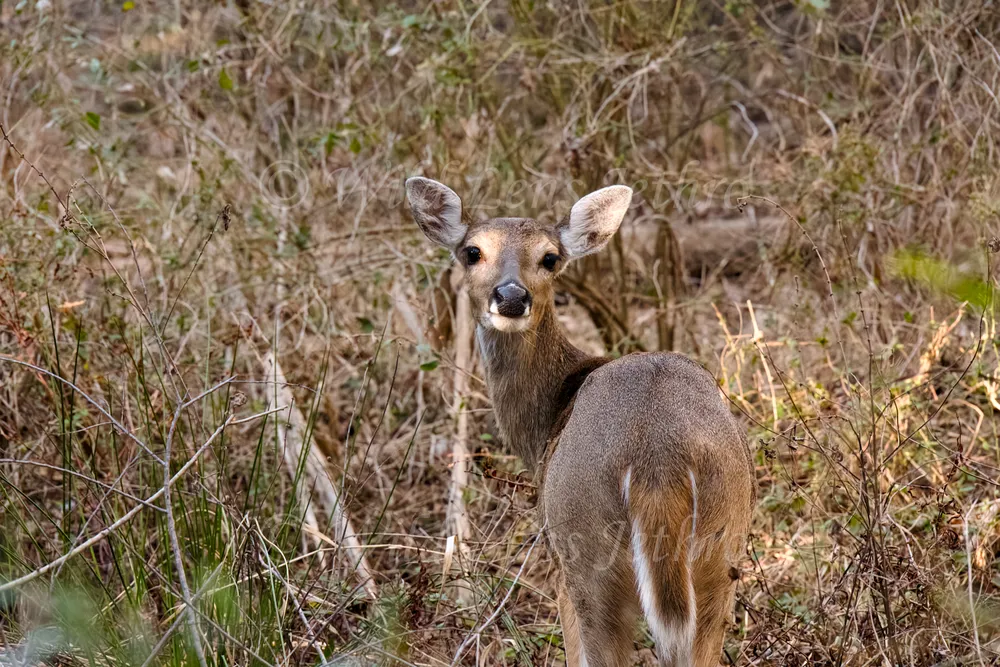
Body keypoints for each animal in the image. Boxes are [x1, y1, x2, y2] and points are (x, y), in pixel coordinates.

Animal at [405, 177, 755, 667]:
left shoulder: (557, 562)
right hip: (722, 549)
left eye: (550, 257)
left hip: (584, 555)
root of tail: (657, 458)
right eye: (472, 251)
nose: (511, 297)